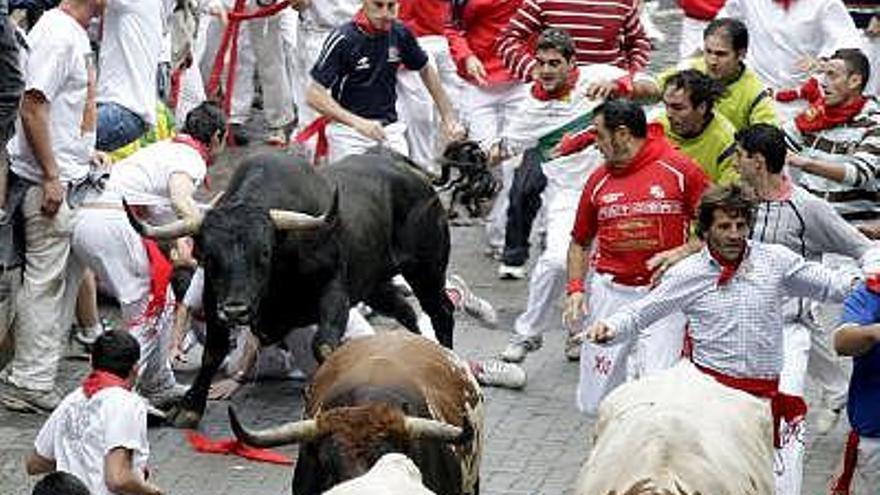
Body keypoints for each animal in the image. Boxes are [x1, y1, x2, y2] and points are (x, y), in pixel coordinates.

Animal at [129, 149, 454, 428]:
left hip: (427, 270)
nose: (236, 310)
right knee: (405, 309)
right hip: (374, 283)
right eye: (209, 256)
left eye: (264, 253)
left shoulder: (333, 291)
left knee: (441, 312)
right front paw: (189, 408)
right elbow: (213, 351)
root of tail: (411, 173)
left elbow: (324, 346)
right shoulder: (213, 297)